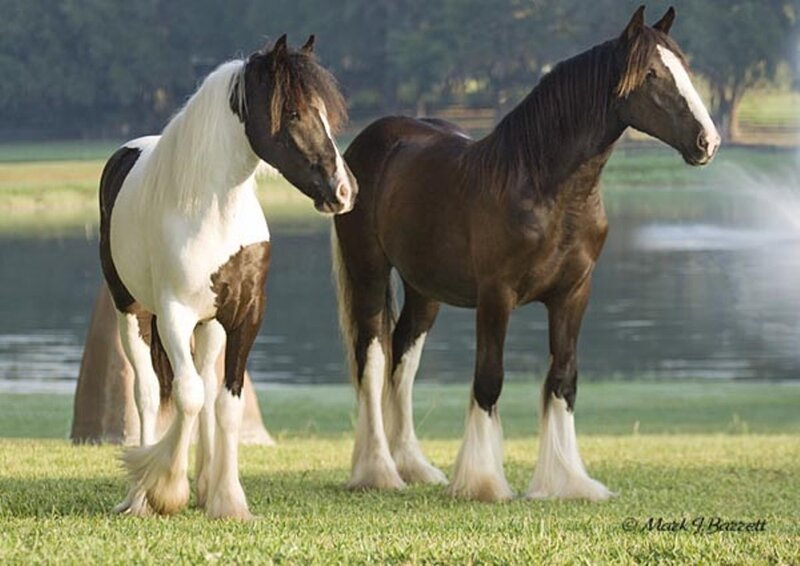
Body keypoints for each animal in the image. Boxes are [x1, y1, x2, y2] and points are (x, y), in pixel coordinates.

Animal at [100, 34, 357, 519]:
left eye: (323, 111)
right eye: (292, 112)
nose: (344, 190)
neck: (212, 212)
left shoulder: (245, 316)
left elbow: (225, 403)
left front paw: (227, 498)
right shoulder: (174, 315)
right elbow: (187, 395)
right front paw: (166, 488)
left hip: (211, 326)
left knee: (203, 383)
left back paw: (201, 485)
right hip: (132, 313)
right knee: (148, 392)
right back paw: (138, 495)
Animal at [332, 6, 719, 501]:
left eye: (684, 67)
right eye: (651, 74)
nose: (707, 142)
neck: (544, 187)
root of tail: (368, 143)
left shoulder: (573, 294)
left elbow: (563, 379)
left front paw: (567, 481)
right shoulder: (497, 296)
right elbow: (489, 380)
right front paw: (483, 482)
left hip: (425, 289)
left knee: (403, 357)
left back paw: (413, 467)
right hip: (369, 272)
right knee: (373, 357)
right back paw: (379, 471)